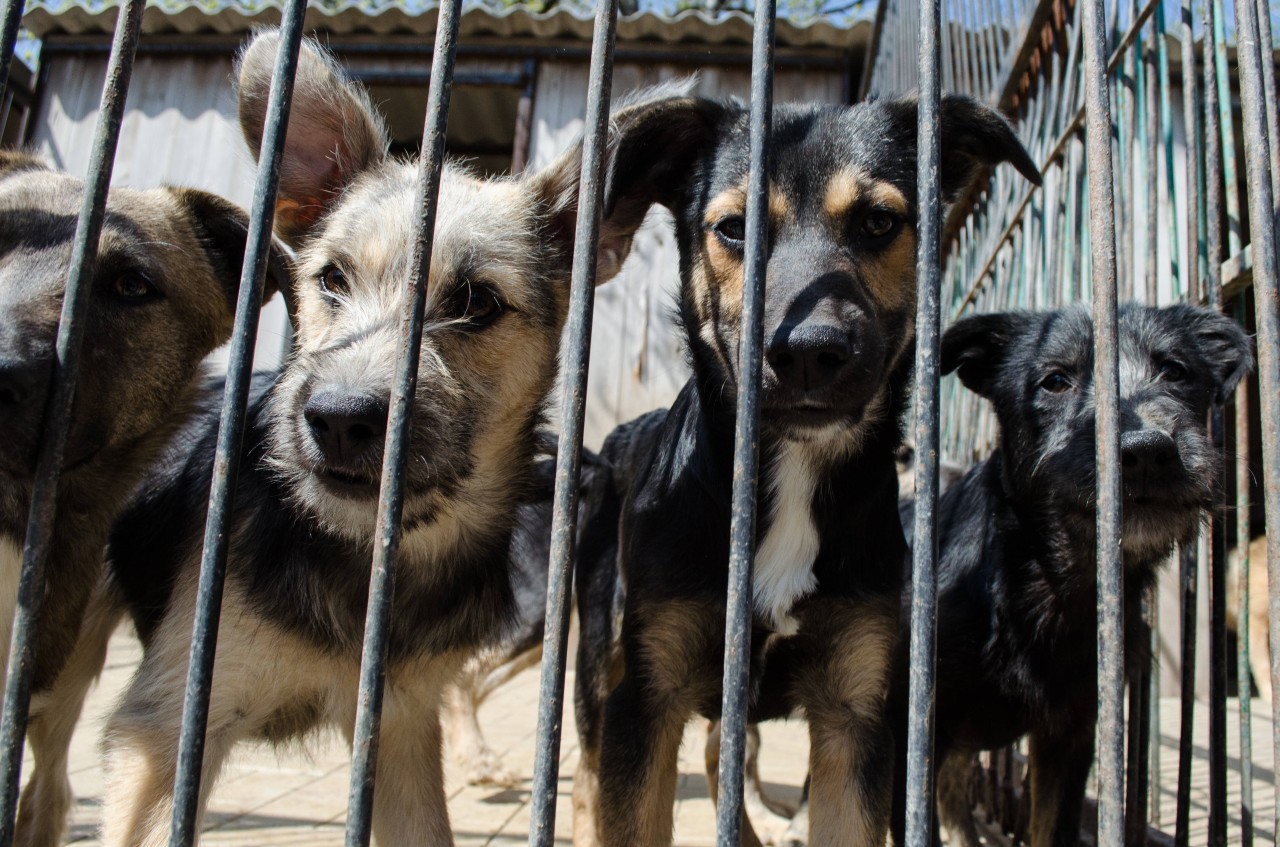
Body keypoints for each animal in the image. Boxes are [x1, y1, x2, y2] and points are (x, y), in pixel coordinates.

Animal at [96, 34, 716, 847]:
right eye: (331, 279)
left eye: (477, 302)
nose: (336, 419)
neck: (366, 554)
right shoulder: (167, 731)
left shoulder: (399, 731)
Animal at [570, 94, 1039, 847]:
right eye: (733, 229)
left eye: (879, 221)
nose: (810, 352)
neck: (793, 467)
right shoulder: (646, 696)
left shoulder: (856, 712)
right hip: (597, 656)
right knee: (589, 775)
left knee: (722, 755)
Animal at [890, 301, 1249, 847]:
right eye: (1055, 381)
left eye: (1175, 371)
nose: (1148, 451)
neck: (1052, 583)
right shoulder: (910, 736)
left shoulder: (1070, 737)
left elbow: (1052, 826)